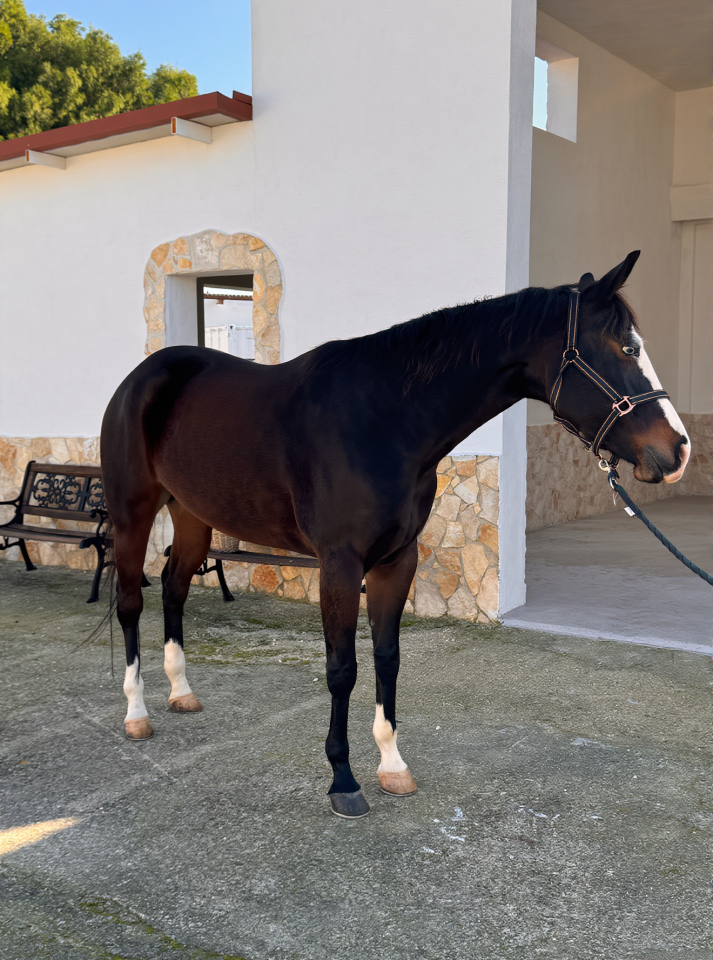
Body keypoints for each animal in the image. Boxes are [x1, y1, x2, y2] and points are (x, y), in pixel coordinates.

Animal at [100, 251, 689, 818]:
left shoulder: (397, 560)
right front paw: (343, 779)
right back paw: (137, 712)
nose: (679, 449)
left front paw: (392, 765)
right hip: (133, 515)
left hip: (192, 516)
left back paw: (181, 692)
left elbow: (388, 657)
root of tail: (140, 378)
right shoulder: (340, 564)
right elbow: (343, 668)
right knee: (131, 602)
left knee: (174, 589)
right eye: (627, 348)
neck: (386, 420)